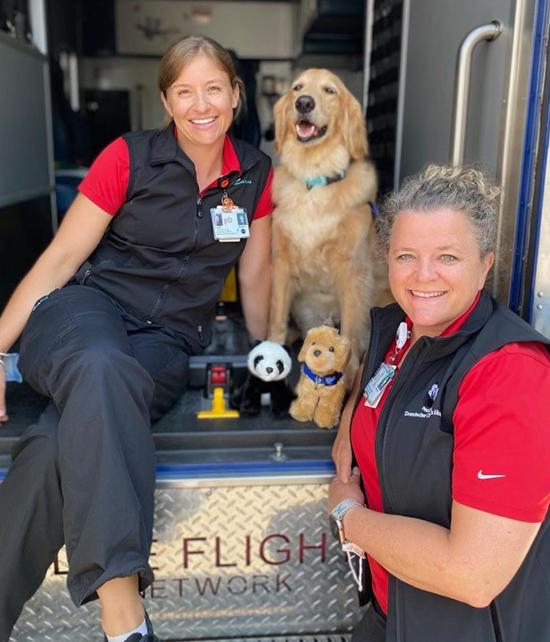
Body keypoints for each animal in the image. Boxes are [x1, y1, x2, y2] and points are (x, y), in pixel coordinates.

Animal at [268, 68, 388, 382]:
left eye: (329, 90)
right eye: (297, 88)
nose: (304, 103)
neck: (315, 179)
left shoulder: (352, 271)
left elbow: (351, 332)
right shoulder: (282, 263)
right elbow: (275, 317)